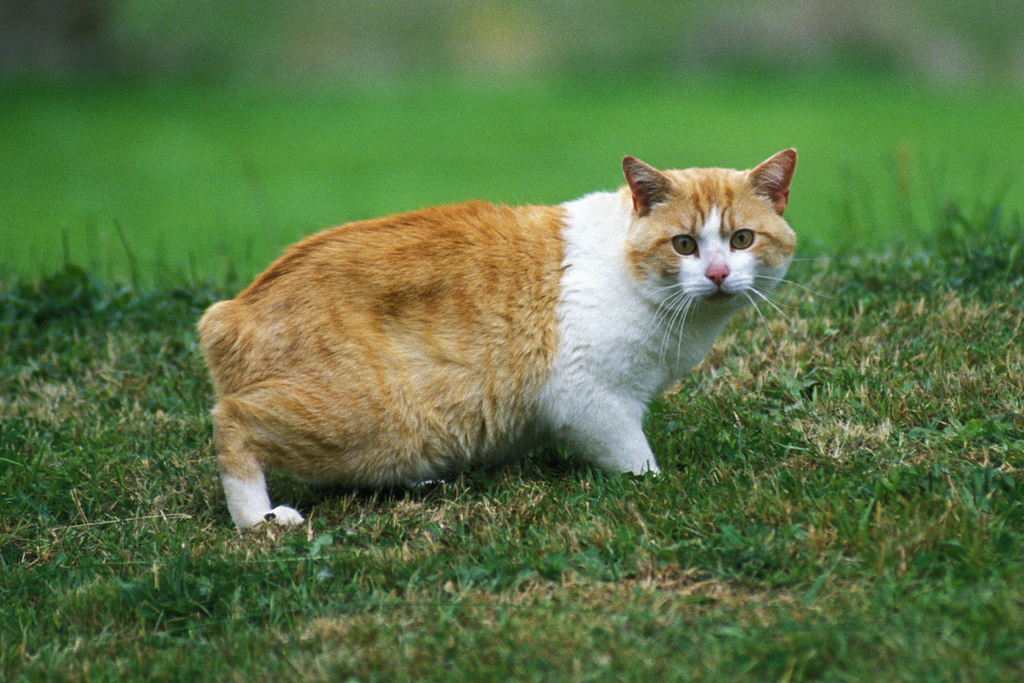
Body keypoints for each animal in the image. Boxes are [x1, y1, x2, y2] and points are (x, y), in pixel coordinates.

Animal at [195, 150, 794, 528]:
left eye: (742, 239)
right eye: (684, 244)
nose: (718, 274)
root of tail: (231, 310)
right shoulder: (590, 401)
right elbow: (636, 461)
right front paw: (655, 484)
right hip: (359, 419)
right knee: (232, 422)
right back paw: (257, 519)